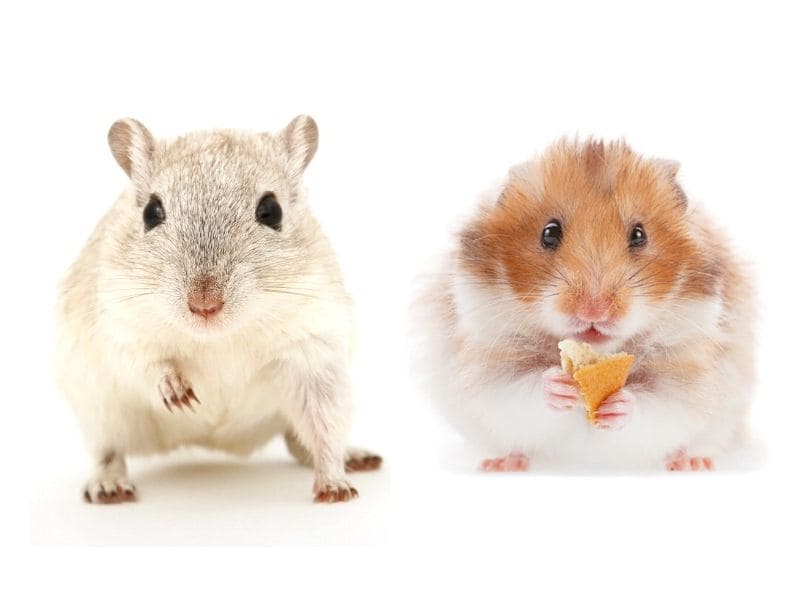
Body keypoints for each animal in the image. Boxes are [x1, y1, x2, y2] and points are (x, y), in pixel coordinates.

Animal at [56, 116, 381, 503]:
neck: (219, 337)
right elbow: (147, 364)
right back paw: (109, 487)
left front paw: (335, 488)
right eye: (151, 212)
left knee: (300, 440)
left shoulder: (315, 350)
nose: (204, 305)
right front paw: (178, 393)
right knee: (108, 453)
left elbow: (326, 429)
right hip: (99, 413)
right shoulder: (119, 328)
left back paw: (357, 458)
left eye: (271, 211)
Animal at [414, 139, 755, 471]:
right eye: (549, 233)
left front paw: (619, 404)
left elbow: (655, 404)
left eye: (639, 235)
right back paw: (502, 464)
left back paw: (692, 463)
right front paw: (557, 385)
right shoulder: (489, 365)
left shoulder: (686, 375)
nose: (594, 311)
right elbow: (520, 391)